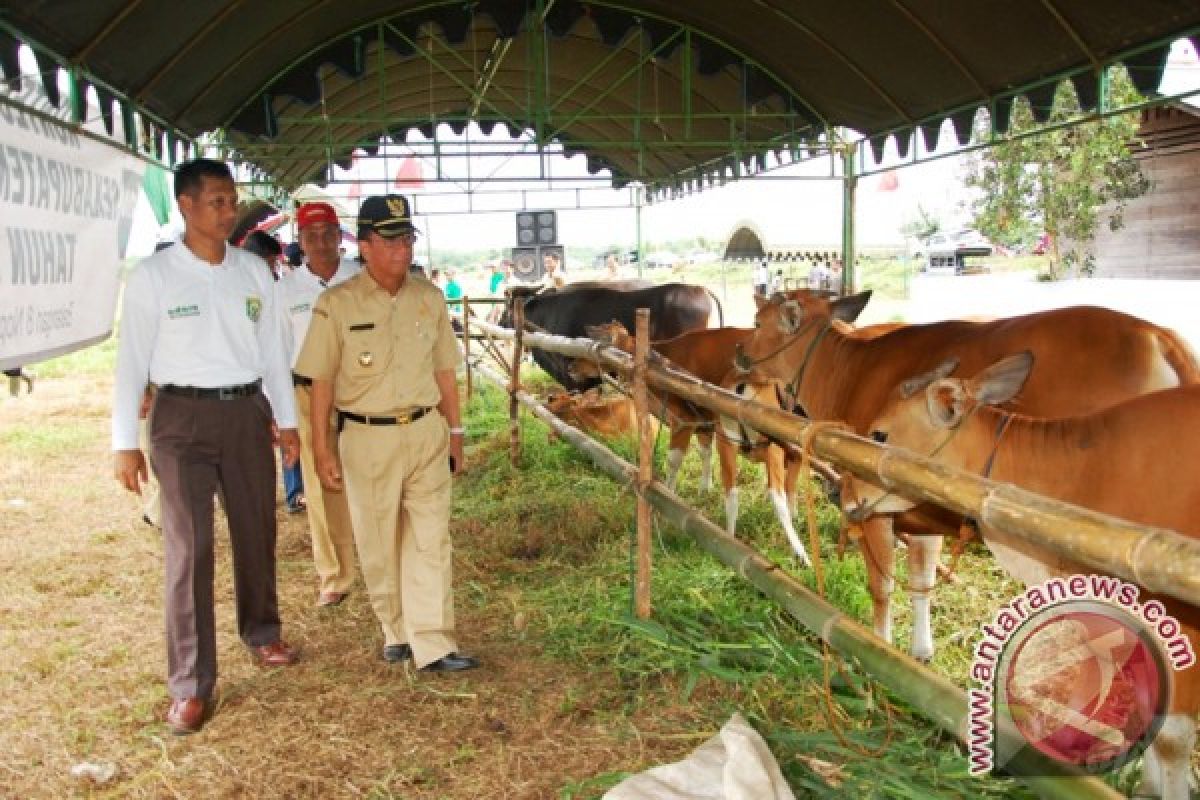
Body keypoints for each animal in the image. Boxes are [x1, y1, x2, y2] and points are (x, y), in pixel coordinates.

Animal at [729, 291, 1200, 662]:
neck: (848, 366)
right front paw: (921, 653)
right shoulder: (920, 502)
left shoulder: (874, 502)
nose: (737, 351)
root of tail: (1158, 335)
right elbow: (922, 582)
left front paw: (879, 649)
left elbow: (881, 586)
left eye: (757, 320)